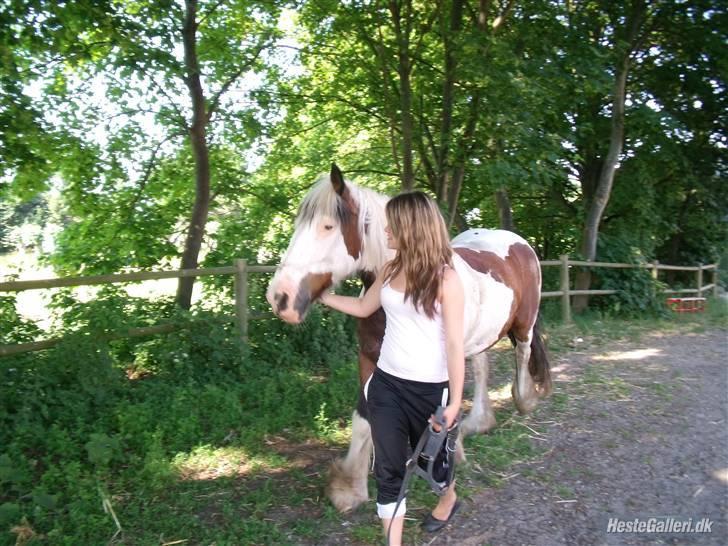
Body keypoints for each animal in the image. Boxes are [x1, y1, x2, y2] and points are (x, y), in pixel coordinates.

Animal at [268, 164, 552, 512]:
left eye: (327, 226)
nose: (280, 297)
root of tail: (517, 242)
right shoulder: (370, 357)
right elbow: (363, 418)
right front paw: (350, 487)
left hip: (524, 324)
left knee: (522, 356)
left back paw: (523, 401)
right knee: (482, 366)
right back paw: (478, 423)